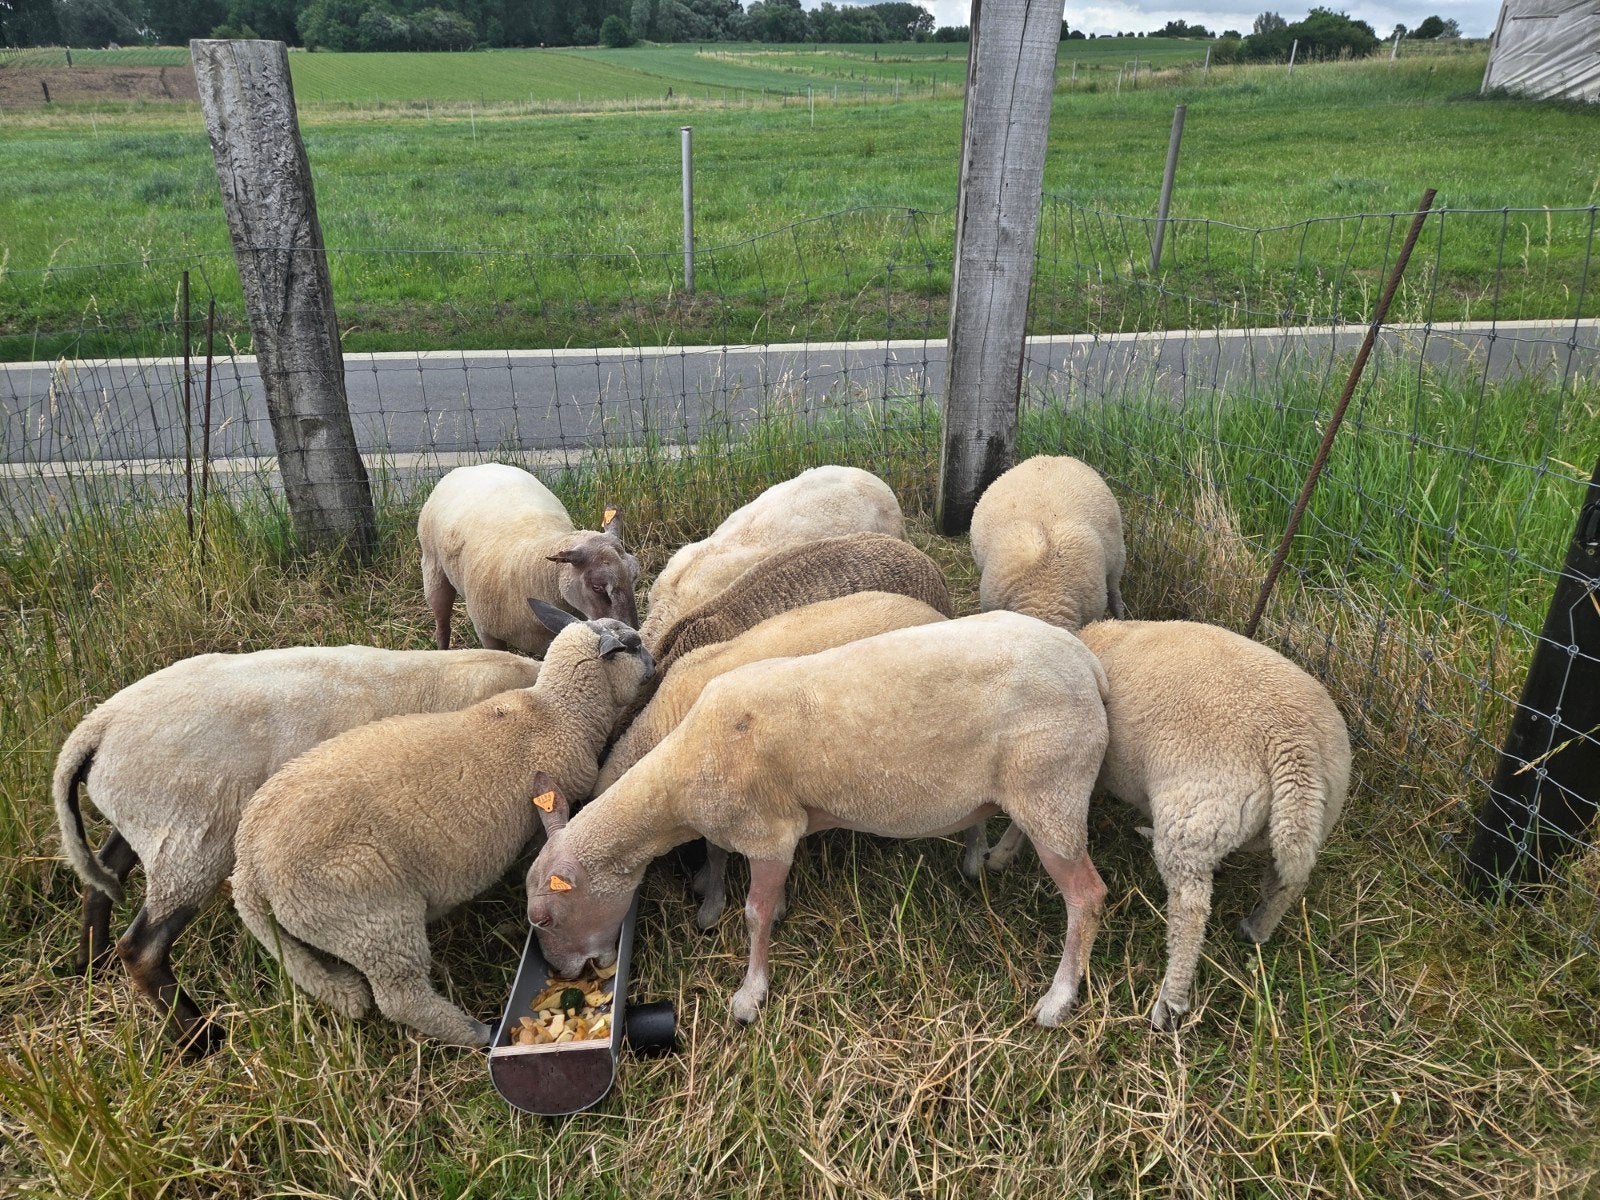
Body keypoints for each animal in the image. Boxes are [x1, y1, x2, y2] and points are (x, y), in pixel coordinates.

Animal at [51, 645, 542, 1053]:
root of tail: (97, 727)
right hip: (192, 842)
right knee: (143, 947)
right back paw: (201, 1039)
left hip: (151, 828)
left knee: (102, 879)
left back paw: (91, 963)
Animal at [231, 604, 653, 1047]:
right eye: (633, 645)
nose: (654, 663)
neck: (556, 713)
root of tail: (248, 868)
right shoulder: (550, 808)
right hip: (371, 919)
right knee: (402, 999)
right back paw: (476, 1031)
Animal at [419, 462, 640, 654]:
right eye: (597, 587)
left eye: (635, 576)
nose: (633, 636)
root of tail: (473, 467)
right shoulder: (487, 634)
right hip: (433, 569)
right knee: (442, 624)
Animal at [971, 619, 1351, 1031]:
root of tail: (1291, 743)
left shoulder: (1057, 773)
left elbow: (1028, 820)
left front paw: (1001, 854)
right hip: (1302, 823)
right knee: (1285, 882)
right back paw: (1256, 929)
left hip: (1193, 813)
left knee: (1190, 912)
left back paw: (1169, 1002)